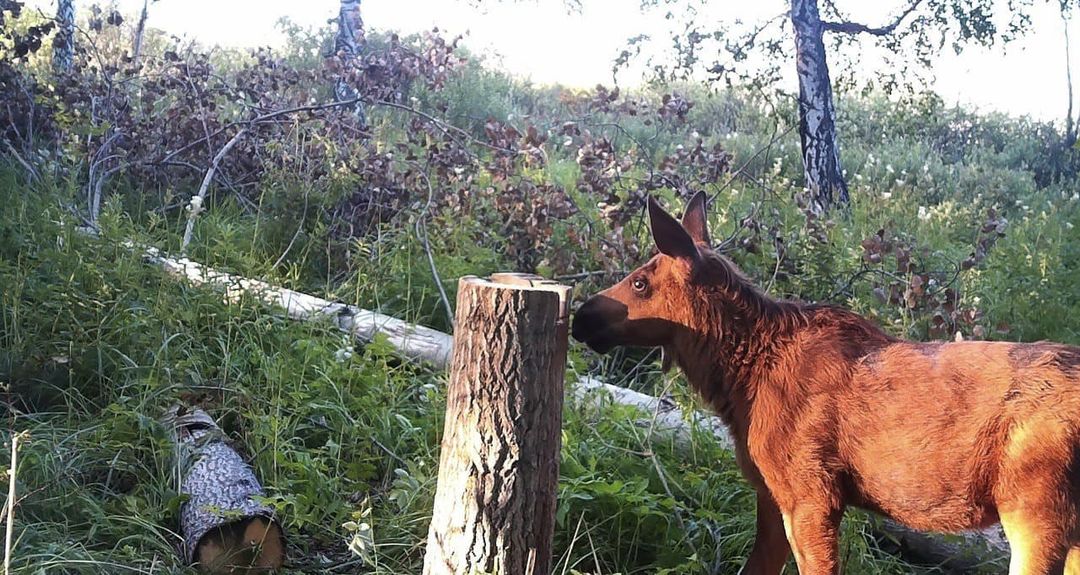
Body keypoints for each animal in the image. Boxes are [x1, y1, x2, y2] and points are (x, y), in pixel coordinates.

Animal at [578, 193, 1080, 575]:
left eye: (640, 283)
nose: (583, 315)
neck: (738, 383)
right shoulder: (771, 493)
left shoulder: (811, 493)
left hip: (1035, 510)